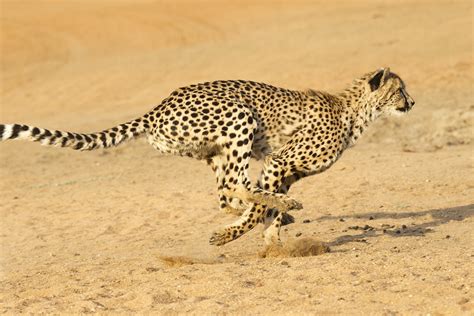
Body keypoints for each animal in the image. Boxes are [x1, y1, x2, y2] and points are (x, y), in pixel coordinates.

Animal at [0, 68, 414, 247]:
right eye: (400, 89)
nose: (411, 102)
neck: (355, 112)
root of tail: (157, 107)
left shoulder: (285, 171)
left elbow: (264, 210)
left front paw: (272, 238)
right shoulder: (279, 162)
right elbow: (259, 206)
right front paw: (236, 236)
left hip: (215, 149)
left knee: (225, 193)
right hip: (240, 118)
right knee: (233, 186)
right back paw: (275, 210)